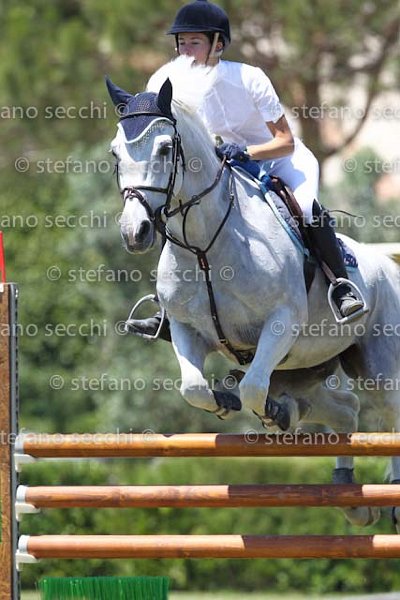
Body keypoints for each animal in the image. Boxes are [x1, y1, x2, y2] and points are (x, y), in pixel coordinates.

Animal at [106, 76, 400, 531]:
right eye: (115, 153)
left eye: (166, 148)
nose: (134, 232)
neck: (205, 246)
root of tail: (387, 264)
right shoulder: (187, 330)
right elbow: (194, 388)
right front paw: (229, 401)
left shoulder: (280, 323)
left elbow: (252, 388)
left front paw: (273, 413)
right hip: (308, 366)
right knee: (344, 410)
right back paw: (349, 492)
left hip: (379, 367)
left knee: (387, 412)